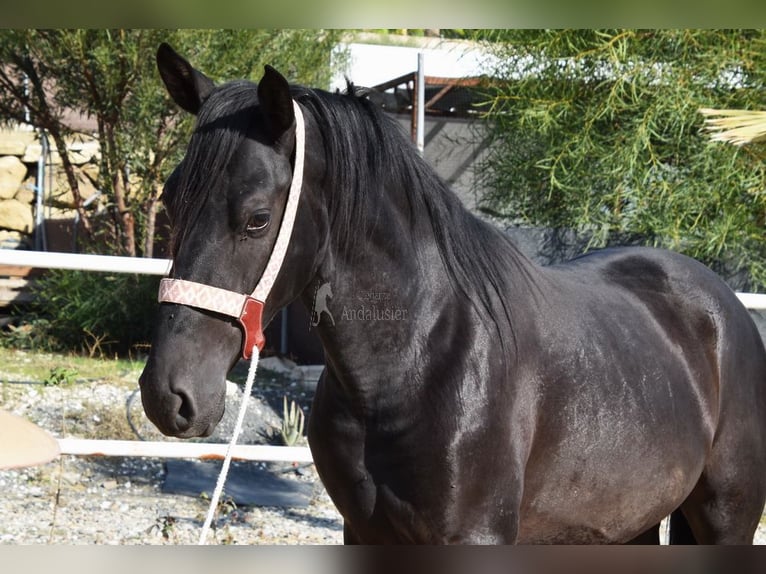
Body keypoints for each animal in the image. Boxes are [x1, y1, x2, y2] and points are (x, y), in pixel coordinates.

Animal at [141, 45, 766, 544]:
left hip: (724, 517)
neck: (419, 359)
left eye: (256, 218)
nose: (167, 394)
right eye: (170, 199)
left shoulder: (474, 536)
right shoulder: (363, 532)